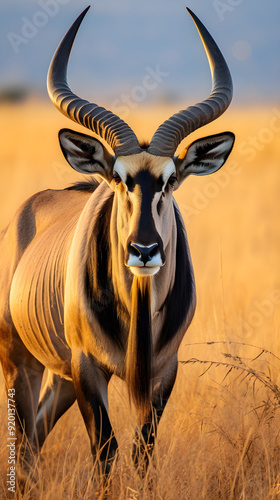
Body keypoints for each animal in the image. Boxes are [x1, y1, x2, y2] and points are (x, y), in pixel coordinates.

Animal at [0, 4, 234, 480]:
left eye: (170, 180)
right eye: (119, 178)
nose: (144, 251)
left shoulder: (162, 374)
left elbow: (142, 453)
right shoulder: (89, 368)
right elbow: (106, 449)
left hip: (60, 378)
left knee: (36, 437)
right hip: (22, 364)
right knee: (23, 442)